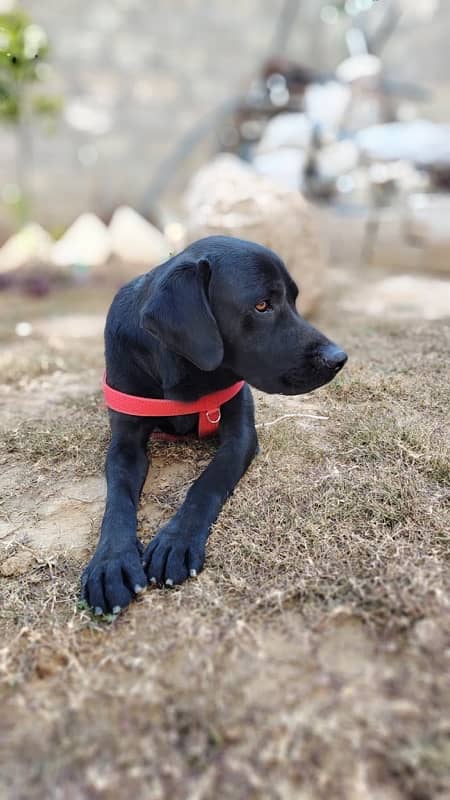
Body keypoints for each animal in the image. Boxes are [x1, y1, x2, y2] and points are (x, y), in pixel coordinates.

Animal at [81, 234, 348, 616]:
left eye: (294, 300)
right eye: (262, 305)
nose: (339, 358)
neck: (183, 374)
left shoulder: (240, 435)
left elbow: (208, 481)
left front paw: (177, 540)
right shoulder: (124, 446)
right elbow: (117, 499)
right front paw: (110, 562)